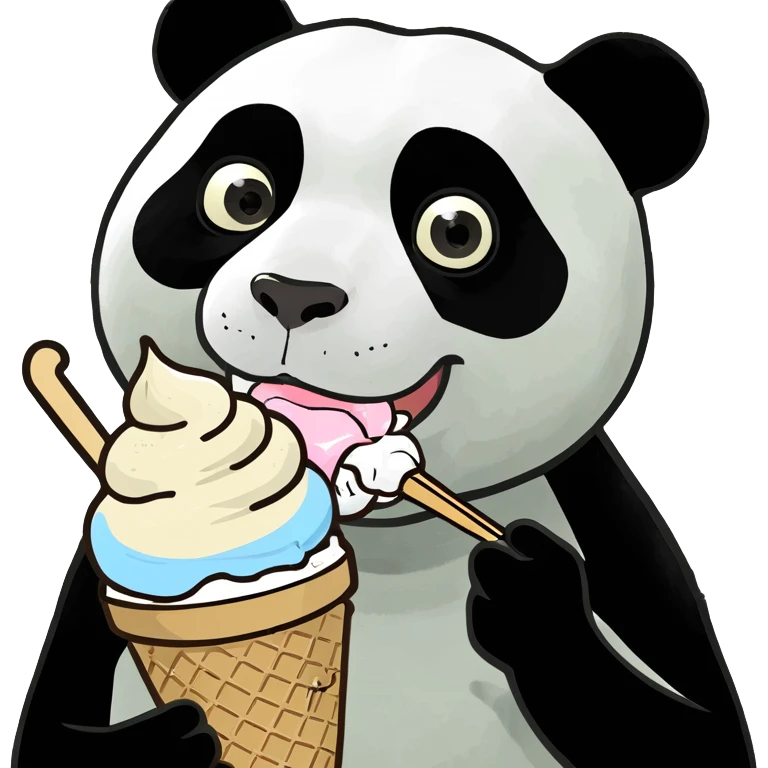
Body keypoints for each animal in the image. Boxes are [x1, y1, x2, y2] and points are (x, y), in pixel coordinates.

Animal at [12, 3, 755, 768]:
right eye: (241, 196)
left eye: (456, 231)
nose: (294, 294)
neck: (389, 536)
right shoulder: (99, 590)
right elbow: (52, 739)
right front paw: (182, 740)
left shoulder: (612, 537)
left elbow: (698, 733)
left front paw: (533, 594)